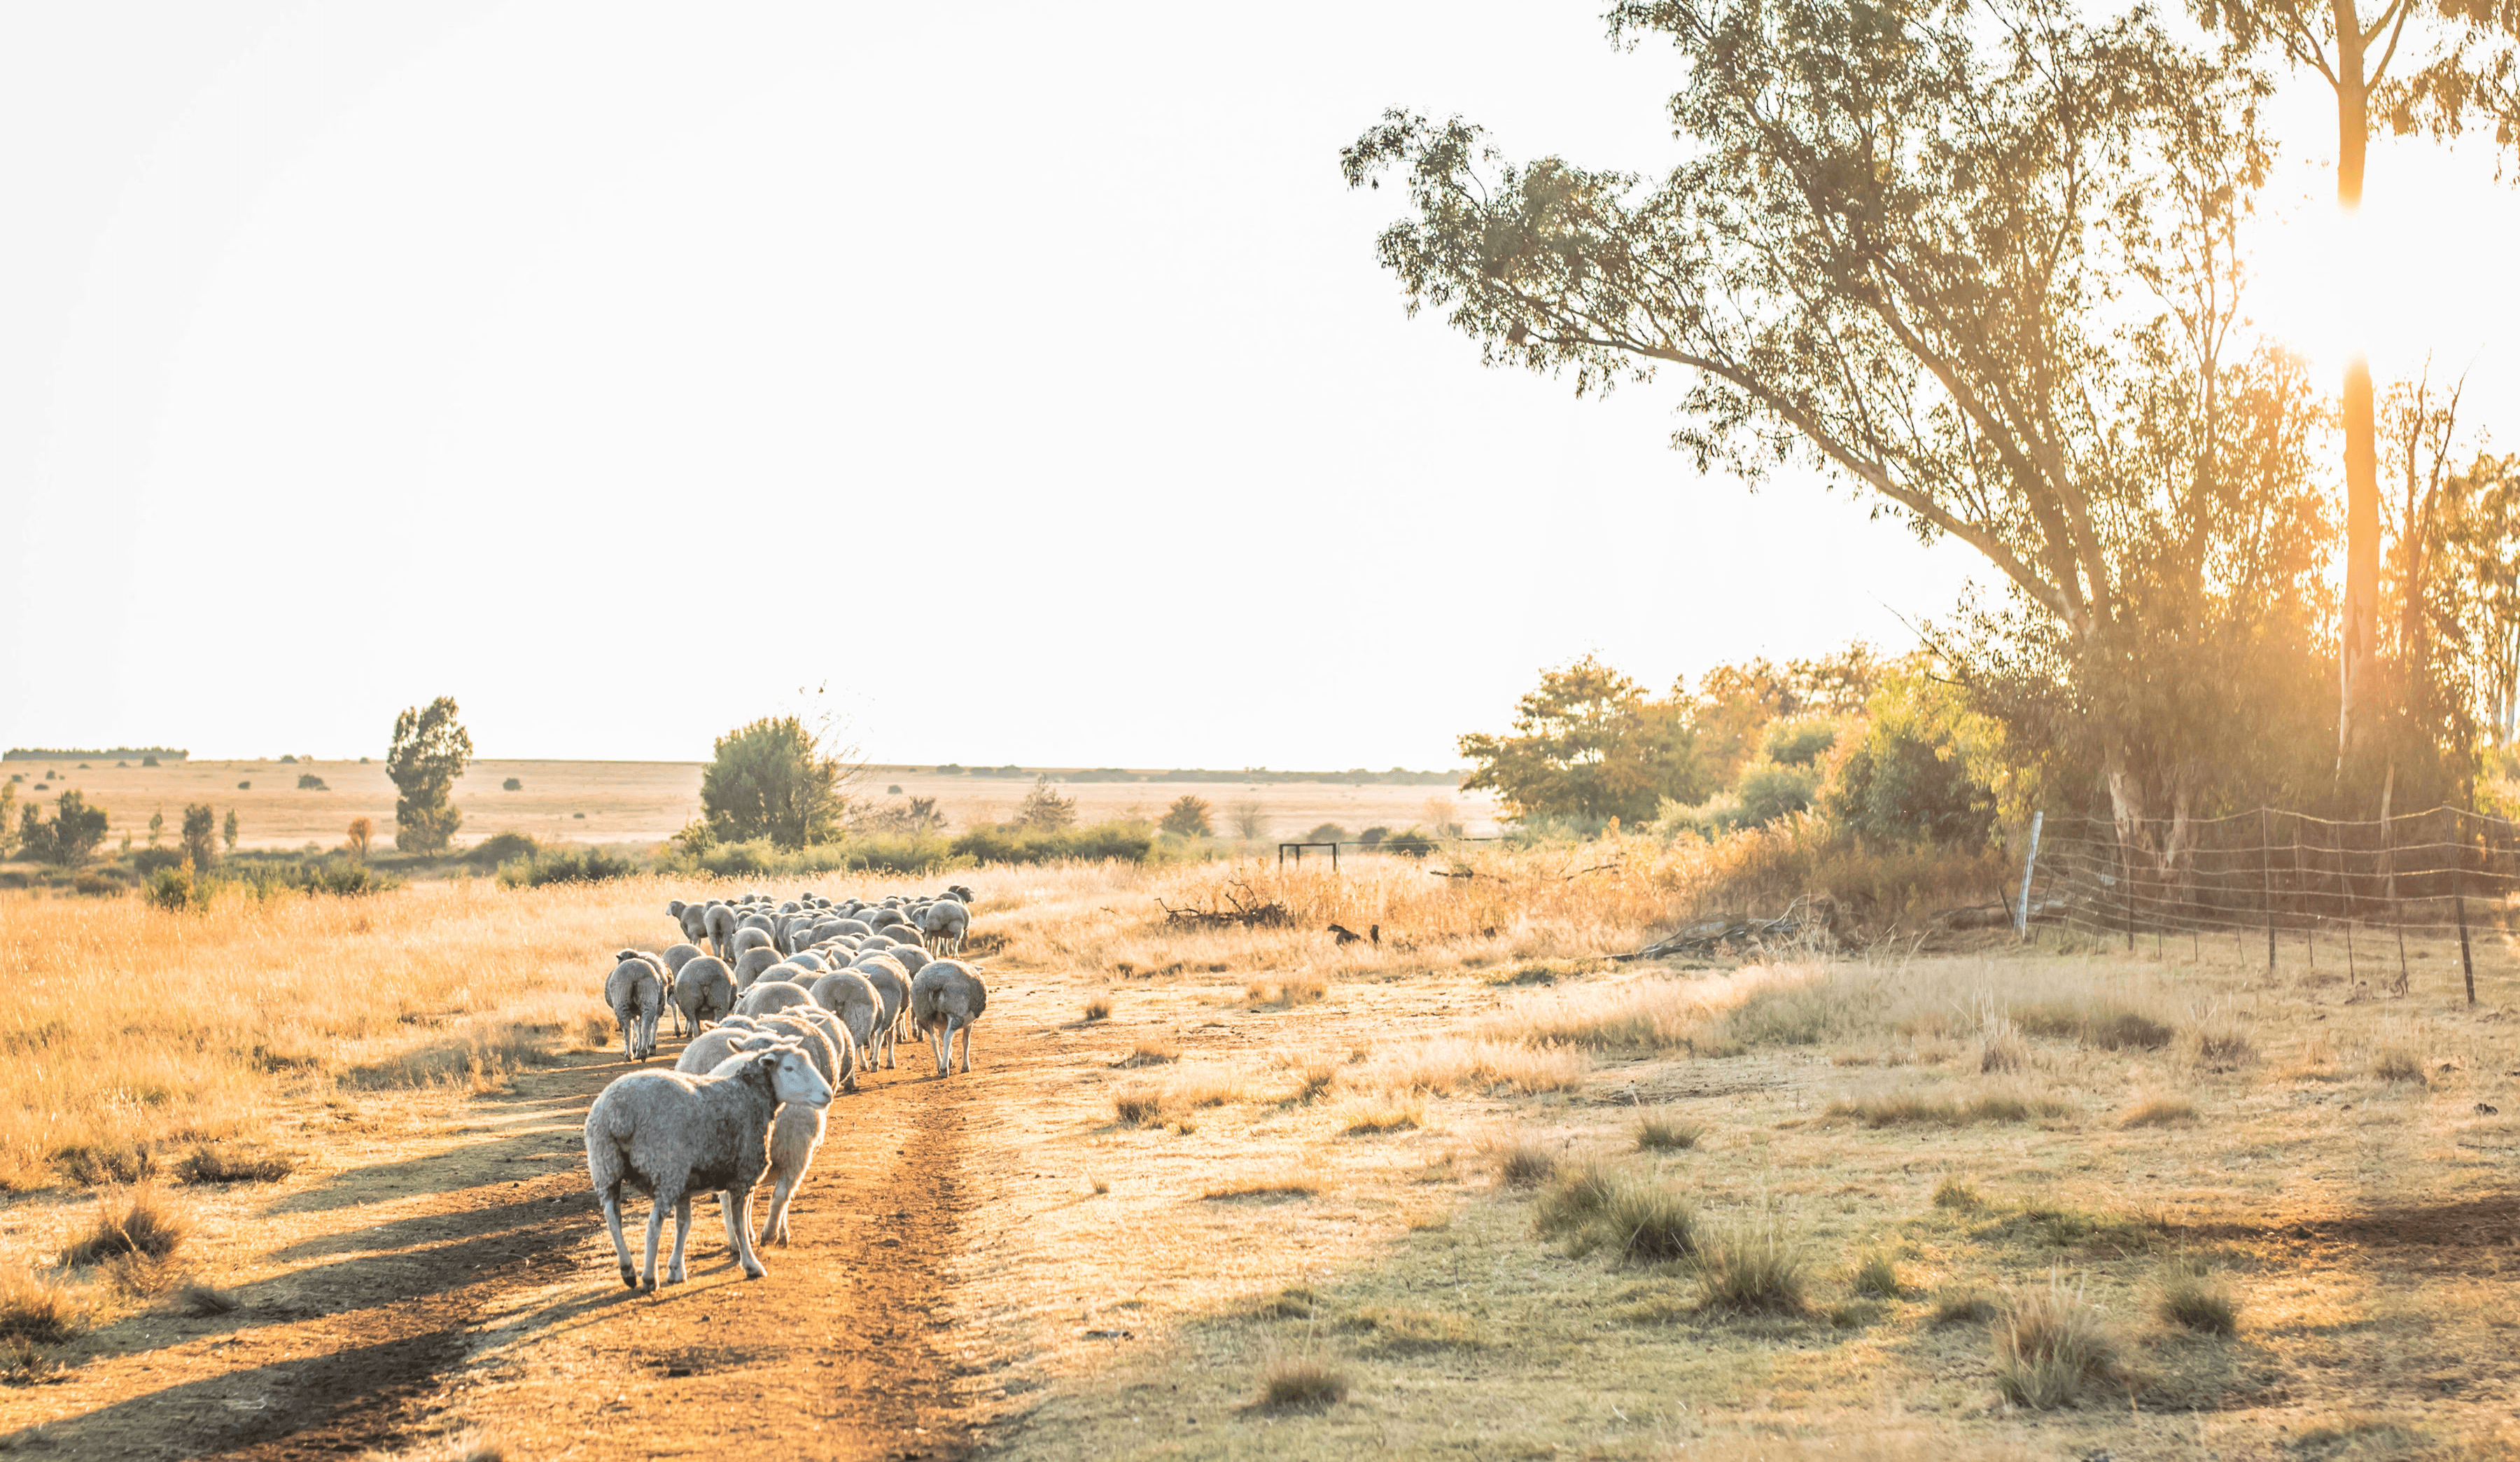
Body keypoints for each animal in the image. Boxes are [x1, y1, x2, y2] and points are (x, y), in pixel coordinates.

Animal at [584, 1038, 832, 1290]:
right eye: (789, 1068)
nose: (827, 1093)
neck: (749, 1095)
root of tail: (620, 1113)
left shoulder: (686, 1187)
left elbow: (683, 1225)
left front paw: (676, 1269)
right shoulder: (741, 1176)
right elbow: (739, 1224)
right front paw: (751, 1264)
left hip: (606, 1166)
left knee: (613, 1217)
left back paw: (628, 1270)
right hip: (666, 1169)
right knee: (653, 1224)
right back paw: (648, 1277)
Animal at [599, 952, 660, 1059]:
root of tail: (634, 973)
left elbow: (634, 1027)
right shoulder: (636, 1012)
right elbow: (638, 1027)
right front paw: (638, 1049)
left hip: (621, 1001)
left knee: (627, 1028)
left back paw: (629, 1054)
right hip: (649, 997)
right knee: (646, 1024)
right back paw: (643, 1052)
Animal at [907, 958, 983, 1073]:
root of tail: (934, 981)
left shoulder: (941, 1024)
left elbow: (943, 1039)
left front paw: (949, 1060)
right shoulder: (969, 1023)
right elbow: (965, 1042)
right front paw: (965, 1066)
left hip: (923, 1013)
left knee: (934, 1041)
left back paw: (940, 1065)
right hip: (956, 1012)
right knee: (948, 1038)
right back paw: (943, 1069)